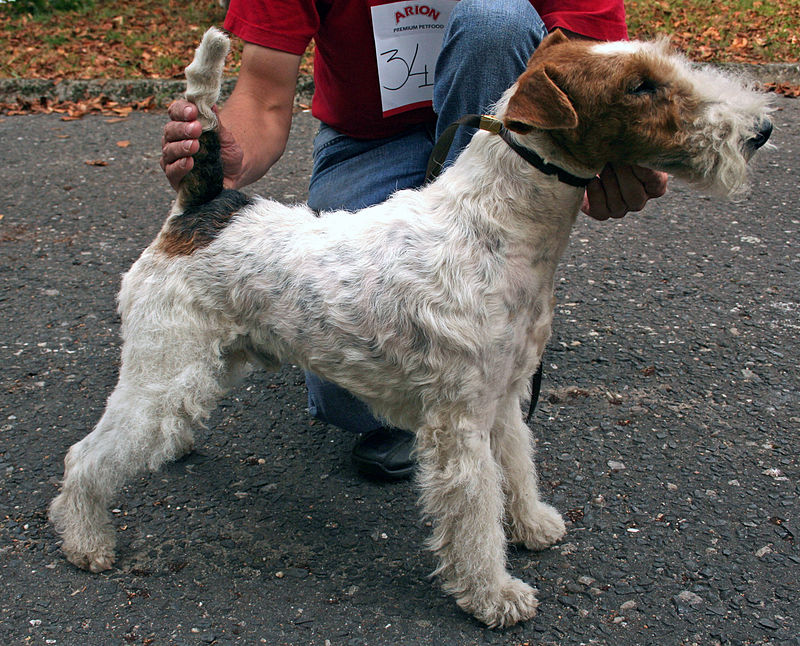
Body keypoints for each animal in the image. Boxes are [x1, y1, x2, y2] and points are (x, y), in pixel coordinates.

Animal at [48, 27, 768, 632]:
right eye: (640, 86)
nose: (759, 130)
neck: (499, 230)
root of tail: (202, 207)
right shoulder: (459, 423)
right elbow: (475, 517)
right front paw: (495, 595)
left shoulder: (503, 399)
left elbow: (519, 467)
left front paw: (533, 524)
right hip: (163, 364)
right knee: (86, 456)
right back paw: (87, 542)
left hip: (211, 359)